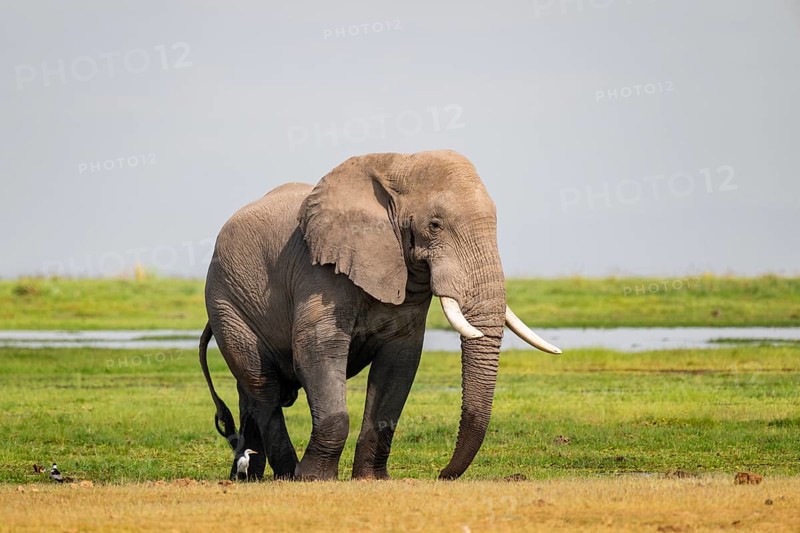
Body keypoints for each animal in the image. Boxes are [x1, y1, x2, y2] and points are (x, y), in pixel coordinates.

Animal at [199, 150, 561, 481]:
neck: (396, 165)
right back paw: (287, 475)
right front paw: (315, 479)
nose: (441, 474)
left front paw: (371, 479)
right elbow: (317, 350)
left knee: (252, 393)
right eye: (434, 225)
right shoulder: (319, 271)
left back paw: (247, 478)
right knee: (265, 389)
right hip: (226, 303)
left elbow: (399, 363)